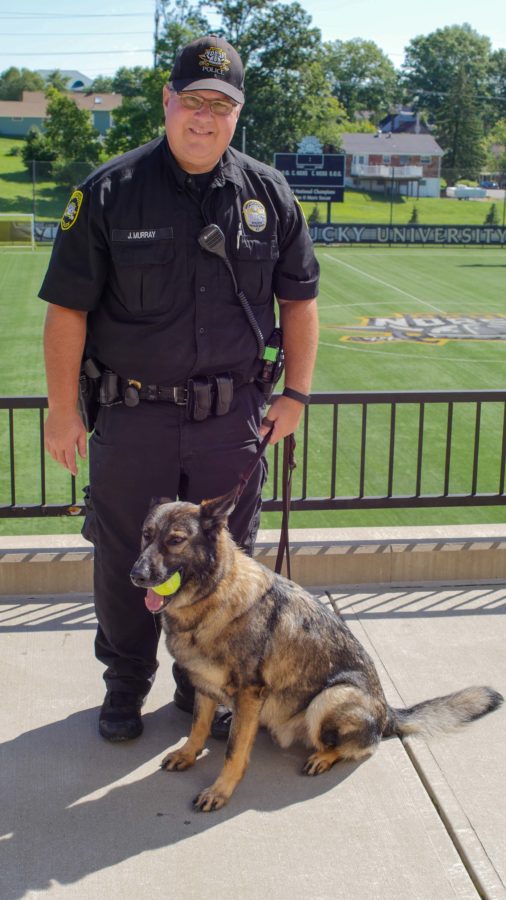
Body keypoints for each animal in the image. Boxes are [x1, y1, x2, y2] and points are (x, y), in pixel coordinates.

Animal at [130, 488, 502, 812]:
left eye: (175, 540)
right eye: (147, 534)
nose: (136, 575)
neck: (212, 597)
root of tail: (387, 712)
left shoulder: (249, 692)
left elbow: (234, 751)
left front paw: (220, 791)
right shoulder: (205, 687)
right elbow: (198, 727)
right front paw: (188, 754)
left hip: (330, 697)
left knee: (360, 746)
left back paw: (323, 757)